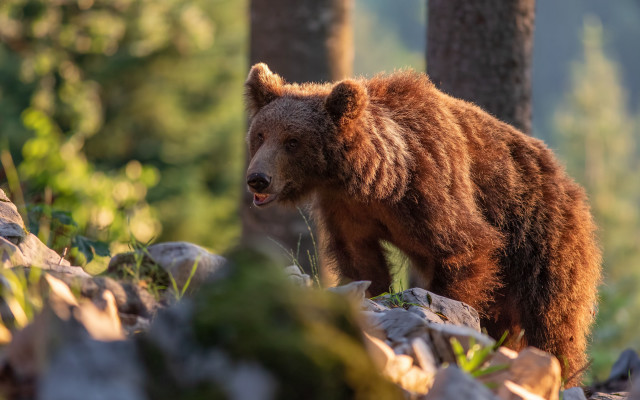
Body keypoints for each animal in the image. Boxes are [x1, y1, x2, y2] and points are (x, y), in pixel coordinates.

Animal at [244, 63, 601, 384]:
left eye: (292, 140)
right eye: (260, 134)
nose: (257, 178)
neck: (377, 179)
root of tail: (571, 185)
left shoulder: (431, 187)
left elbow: (464, 250)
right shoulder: (347, 210)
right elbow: (361, 261)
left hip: (542, 242)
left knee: (554, 319)